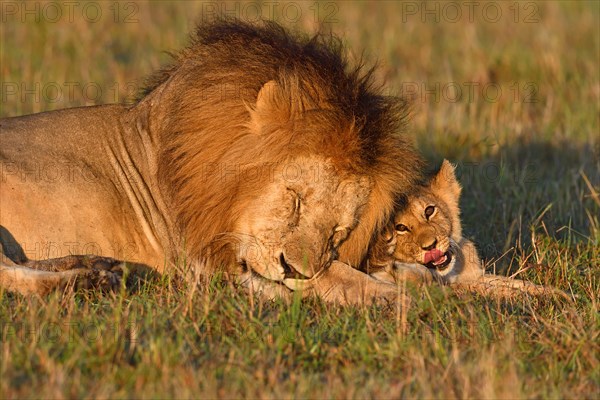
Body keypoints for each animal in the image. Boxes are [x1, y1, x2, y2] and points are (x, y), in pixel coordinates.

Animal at [1, 18, 422, 304]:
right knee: (8, 276)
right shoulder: (206, 261)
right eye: (295, 200)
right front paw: (398, 299)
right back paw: (90, 281)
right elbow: (335, 276)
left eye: (338, 232)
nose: (293, 271)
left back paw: (101, 267)